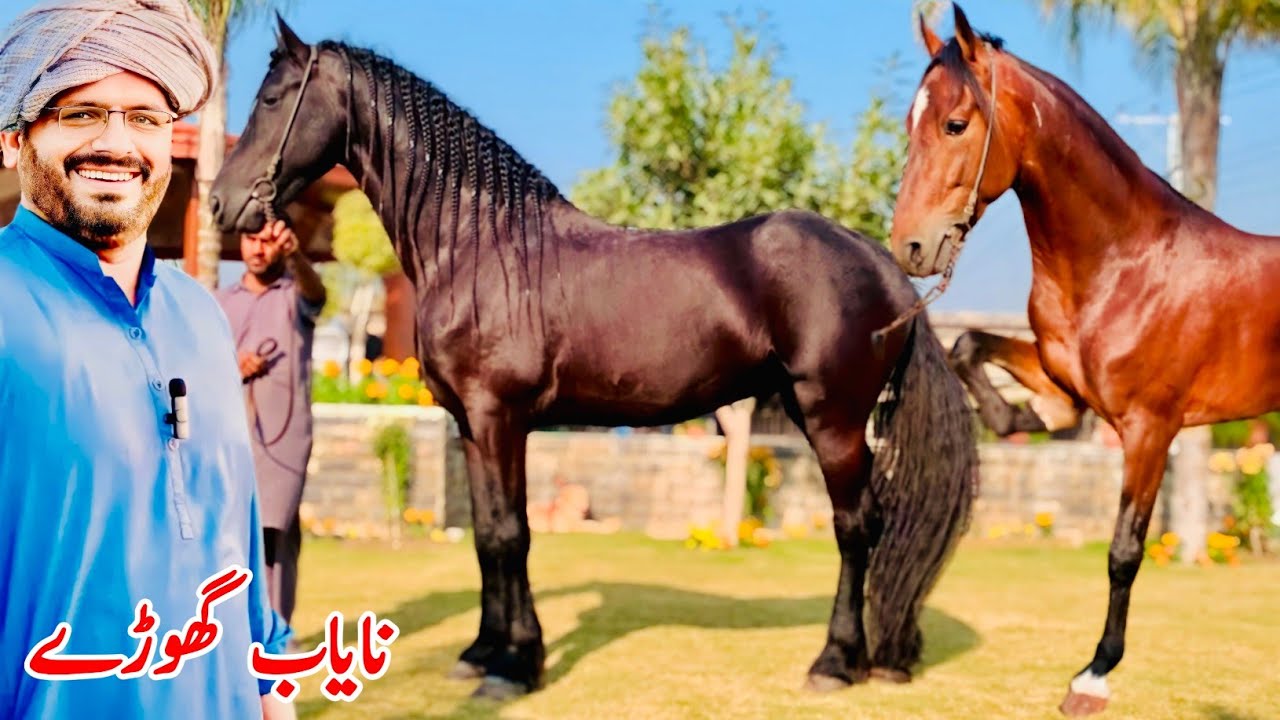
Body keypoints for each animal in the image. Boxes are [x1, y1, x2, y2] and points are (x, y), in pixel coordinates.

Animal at [211, 18, 978, 699]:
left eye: (273, 98)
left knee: (856, 527)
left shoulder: (499, 418)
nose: (222, 203)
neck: (479, 246)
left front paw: (513, 668)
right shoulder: (469, 425)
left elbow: (509, 534)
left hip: (833, 419)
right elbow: (486, 537)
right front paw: (482, 652)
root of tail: (884, 266)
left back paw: (835, 663)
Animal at [890, 4, 1280, 716]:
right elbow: (970, 348)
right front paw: (1022, 420)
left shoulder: (1150, 428)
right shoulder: (1062, 376)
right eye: (910, 123)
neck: (1126, 260)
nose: (909, 247)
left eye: (955, 123)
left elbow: (1124, 550)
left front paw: (1093, 676)